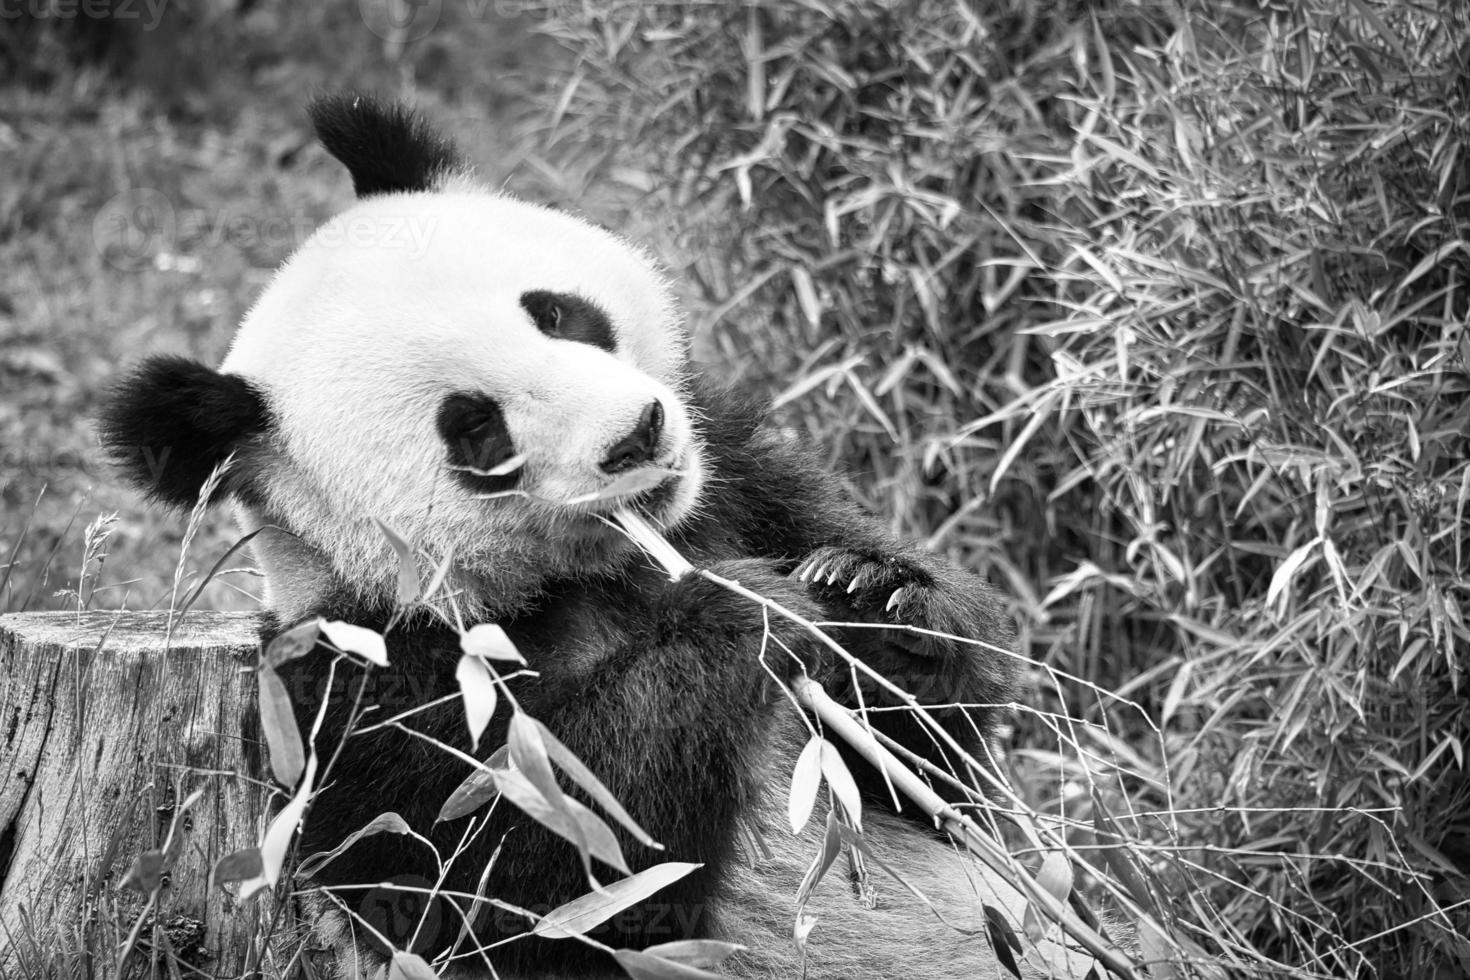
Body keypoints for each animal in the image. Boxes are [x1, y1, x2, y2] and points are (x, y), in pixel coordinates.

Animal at [100, 95, 1093, 975]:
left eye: (554, 312)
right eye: (476, 431)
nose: (638, 437)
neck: (599, 572)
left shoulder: (741, 485)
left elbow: (933, 773)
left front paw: (878, 598)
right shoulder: (351, 682)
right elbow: (524, 865)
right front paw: (747, 618)